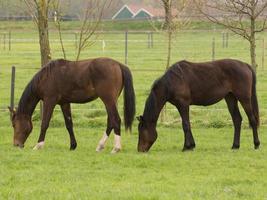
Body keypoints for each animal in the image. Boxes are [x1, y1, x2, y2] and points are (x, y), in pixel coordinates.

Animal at [8, 57, 136, 153]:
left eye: (14, 125)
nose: (16, 144)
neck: (46, 77)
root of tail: (118, 64)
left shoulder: (49, 101)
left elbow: (44, 123)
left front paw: (38, 145)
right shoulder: (64, 103)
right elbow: (69, 124)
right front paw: (73, 145)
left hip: (108, 100)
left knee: (116, 120)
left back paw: (116, 148)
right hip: (111, 101)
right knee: (111, 121)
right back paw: (100, 146)